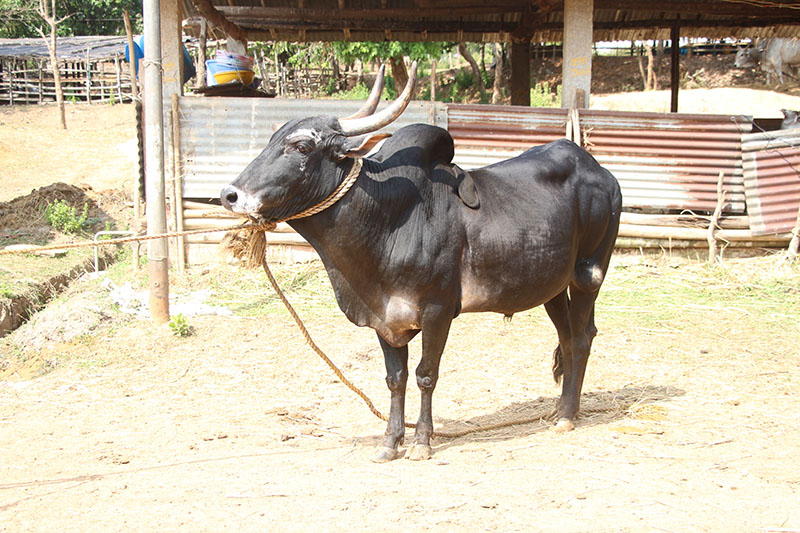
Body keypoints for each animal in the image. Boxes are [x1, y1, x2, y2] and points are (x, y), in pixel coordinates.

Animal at [222, 83, 620, 462]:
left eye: (302, 146)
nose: (230, 195)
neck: (390, 219)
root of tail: (601, 172)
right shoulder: (383, 318)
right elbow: (395, 379)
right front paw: (390, 442)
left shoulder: (437, 311)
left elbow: (426, 376)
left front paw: (421, 442)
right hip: (552, 286)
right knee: (567, 338)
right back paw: (560, 408)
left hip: (588, 273)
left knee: (582, 337)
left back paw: (567, 415)